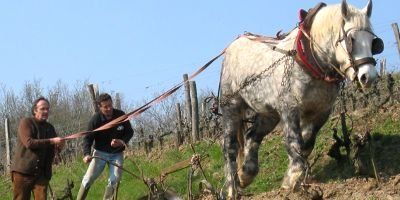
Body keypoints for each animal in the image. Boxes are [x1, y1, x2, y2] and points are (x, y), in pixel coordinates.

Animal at [220, 0, 382, 198]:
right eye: (351, 40)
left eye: (373, 42)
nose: (368, 76)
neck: (311, 59)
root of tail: (234, 44)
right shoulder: (290, 109)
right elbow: (293, 142)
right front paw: (294, 176)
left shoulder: (320, 112)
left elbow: (307, 143)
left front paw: (293, 177)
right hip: (231, 105)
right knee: (230, 147)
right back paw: (232, 188)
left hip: (269, 113)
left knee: (252, 136)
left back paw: (246, 174)